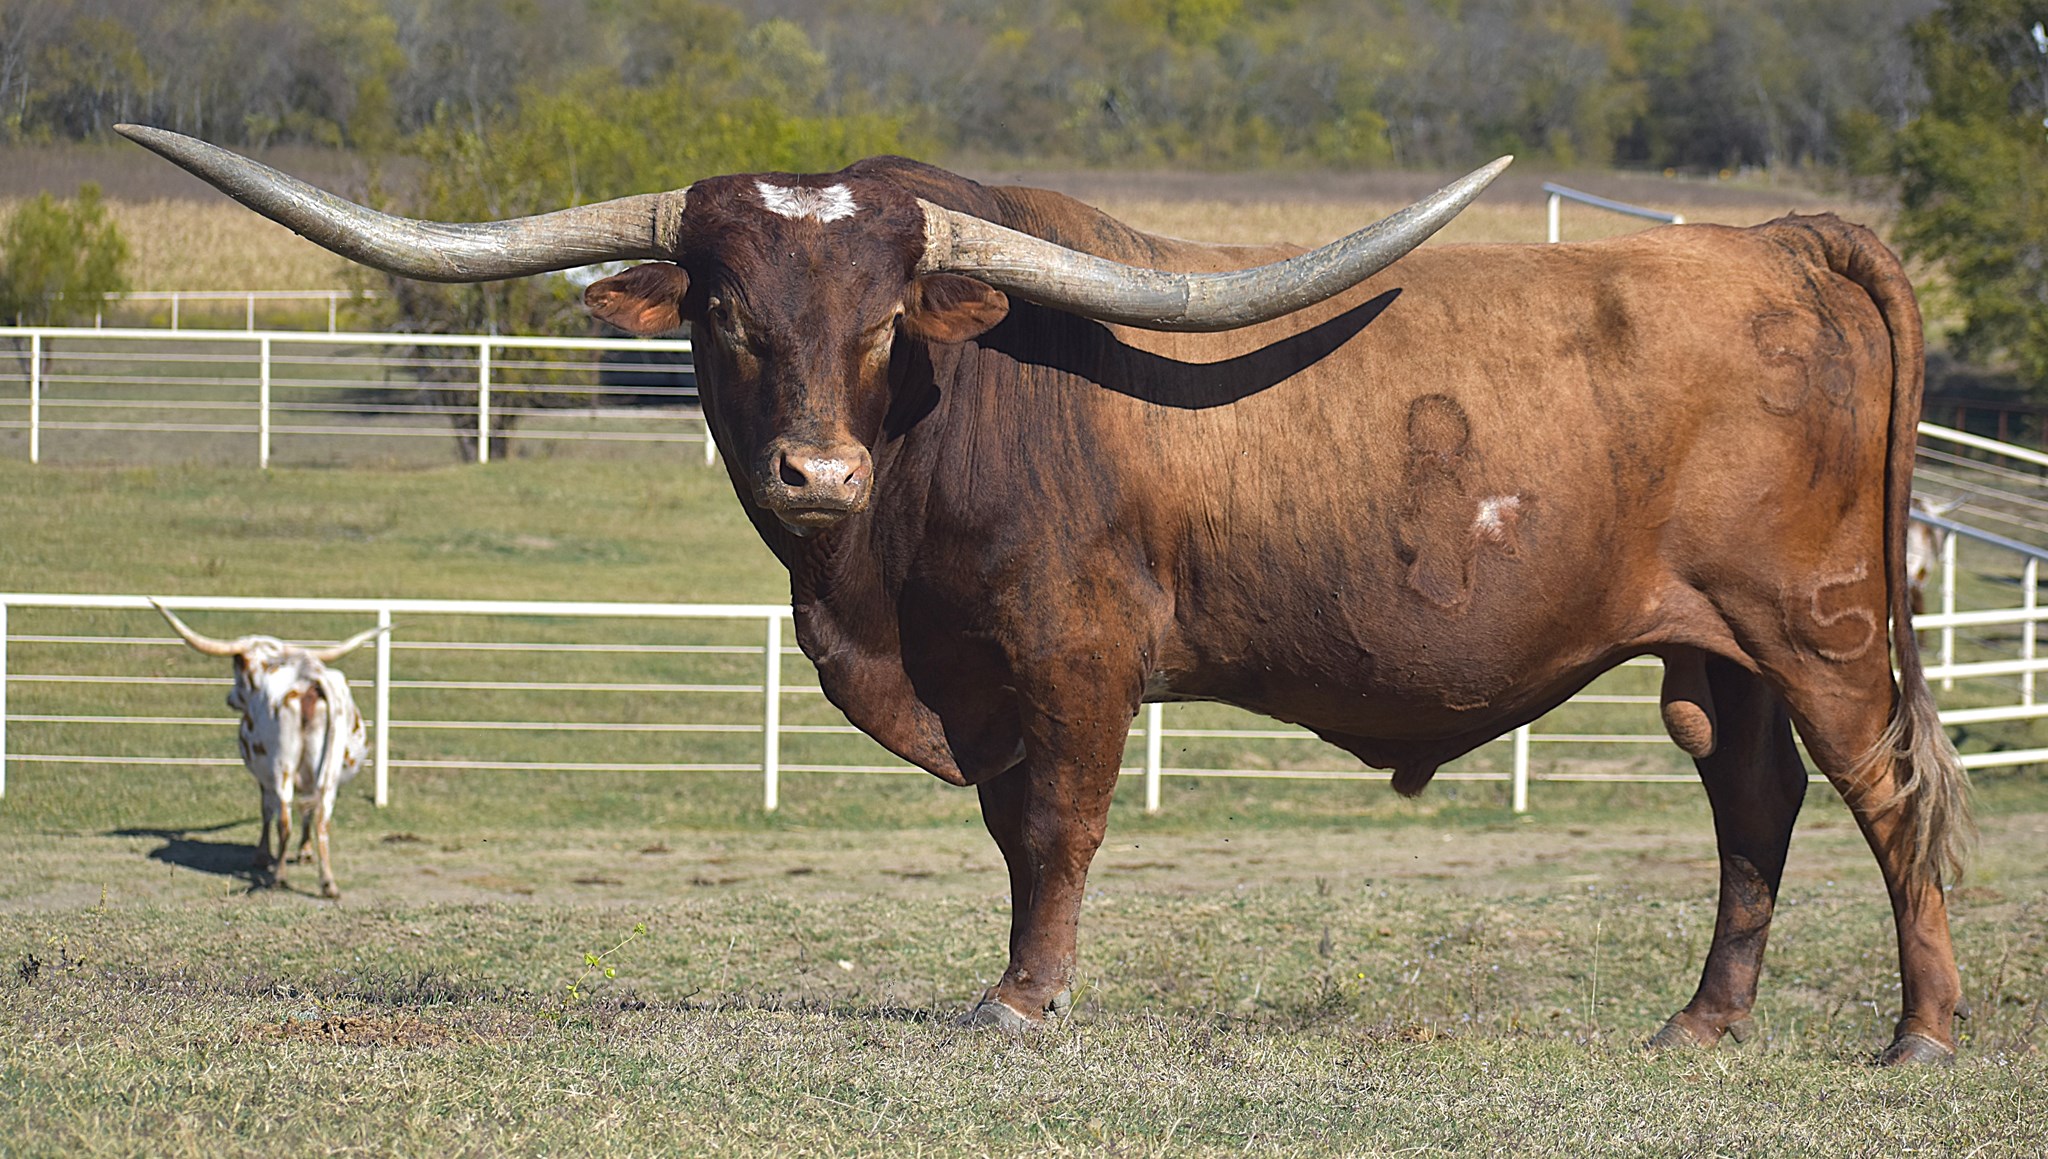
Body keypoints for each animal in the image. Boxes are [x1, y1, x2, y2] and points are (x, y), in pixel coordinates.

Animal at [152, 599, 383, 898]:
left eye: (236, 669)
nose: (230, 699)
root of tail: (309, 679)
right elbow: (307, 812)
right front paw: (305, 852)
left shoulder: (264, 775)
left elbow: (267, 810)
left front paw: (263, 856)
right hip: (328, 774)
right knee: (321, 818)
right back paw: (328, 883)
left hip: (280, 766)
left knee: (284, 818)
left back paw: (279, 876)